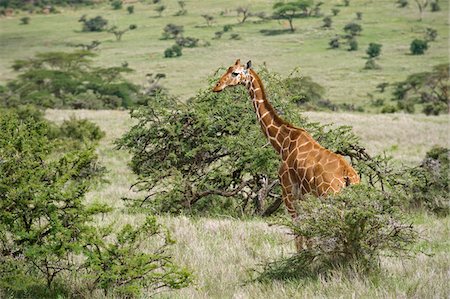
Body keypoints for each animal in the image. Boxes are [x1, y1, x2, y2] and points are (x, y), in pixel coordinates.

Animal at [213, 59, 360, 251]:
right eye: (228, 69)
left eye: (235, 73)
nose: (216, 86)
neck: (283, 143)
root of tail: (348, 176)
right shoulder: (303, 198)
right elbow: (308, 237)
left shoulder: (289, 193)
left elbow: (299, 237)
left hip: (329, 198)